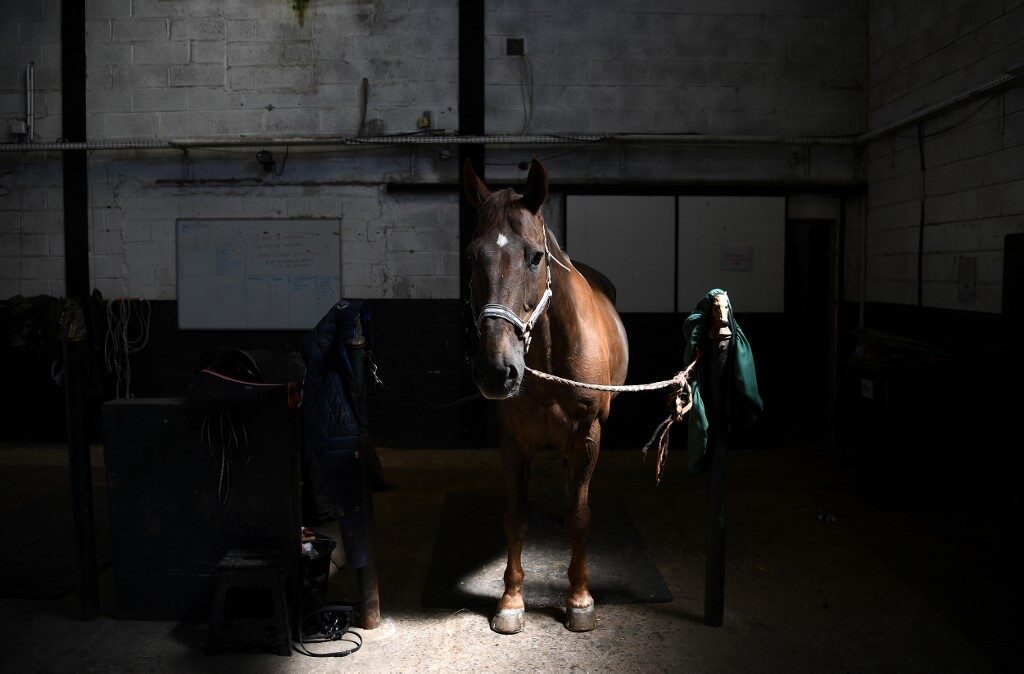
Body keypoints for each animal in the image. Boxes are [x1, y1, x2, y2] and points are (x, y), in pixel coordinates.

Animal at [463, 159, 629, 634]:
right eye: (471, 257)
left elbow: (580, 516)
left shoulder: (587, 437)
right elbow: (515, 517)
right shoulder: (514, 443)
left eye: (535, 256)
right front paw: (511, 602)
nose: (496, 370)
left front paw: (579, 600)